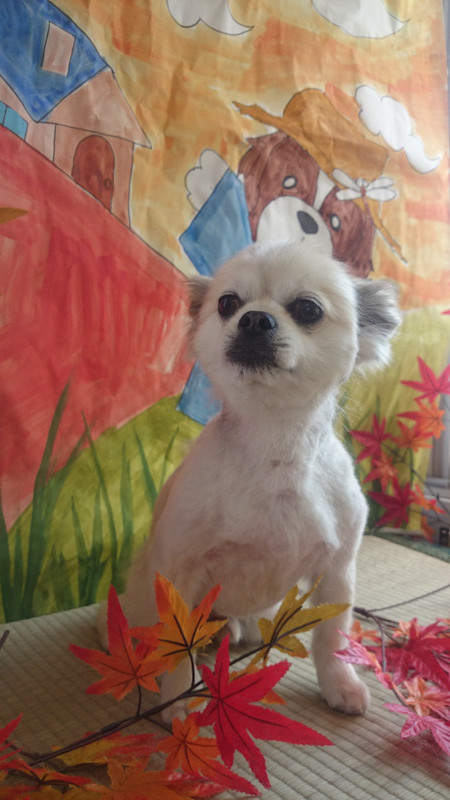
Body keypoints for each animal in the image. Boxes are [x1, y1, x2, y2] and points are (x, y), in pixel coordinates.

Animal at [99, 241, 400, 721]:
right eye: (228, 304)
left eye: (308, 309)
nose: (255, 318)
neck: (275, 447)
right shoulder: (182, 572)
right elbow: (179, 649)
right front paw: (178, 704)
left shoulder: (336, 572)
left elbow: (331, 636)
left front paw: (339, 685)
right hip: (139, 609)